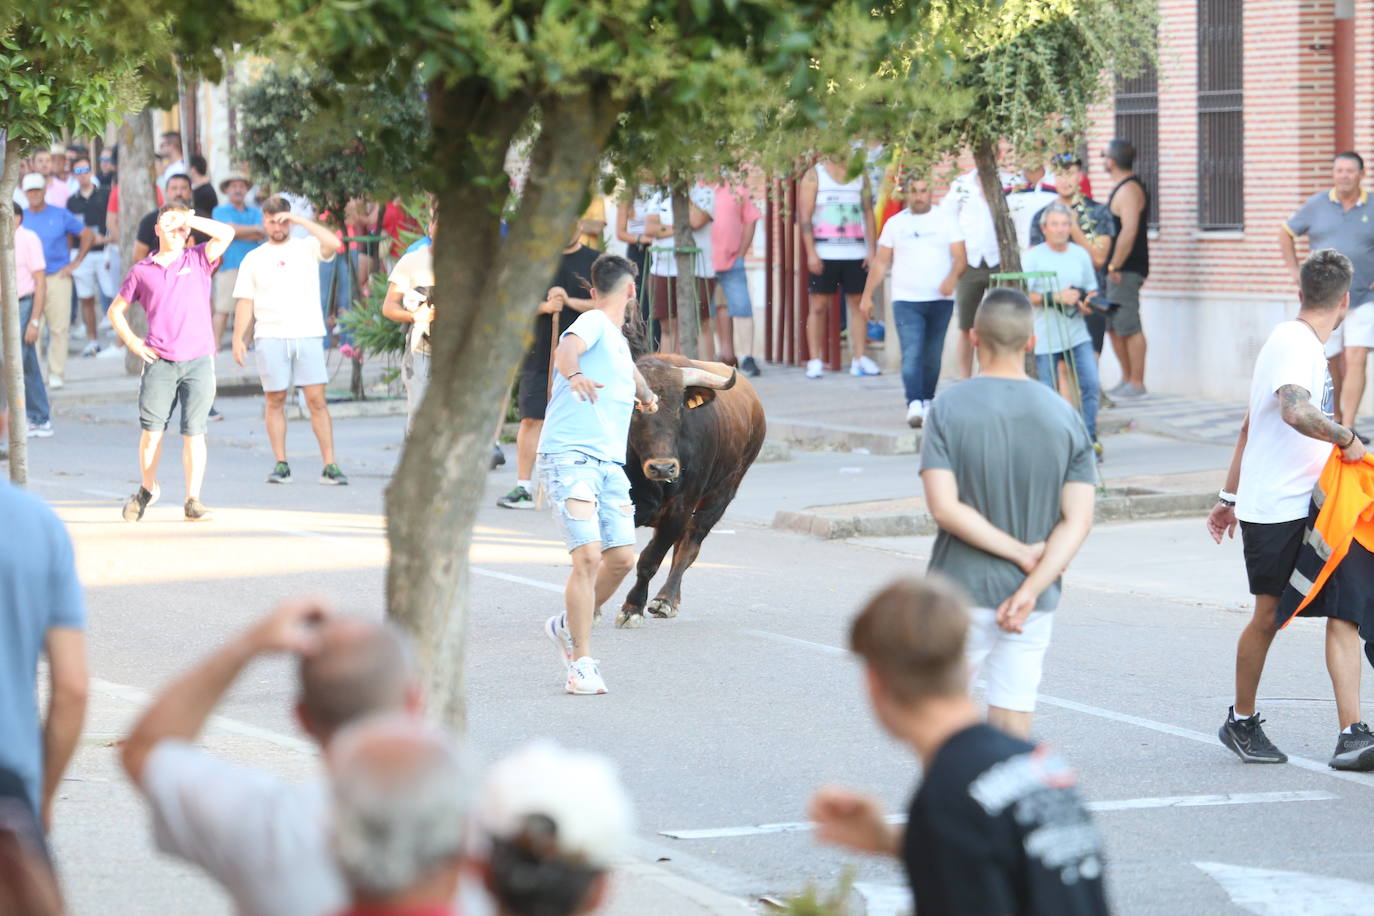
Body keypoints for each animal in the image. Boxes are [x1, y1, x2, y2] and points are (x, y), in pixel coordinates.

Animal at [618, 354, 769, 631]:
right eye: (635, 409)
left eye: (678, 409)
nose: (663, 468)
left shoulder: (679, 509)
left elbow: (649, 560)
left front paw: (632, 609)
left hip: (720, 496)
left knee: (688, 546)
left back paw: (665, 600)